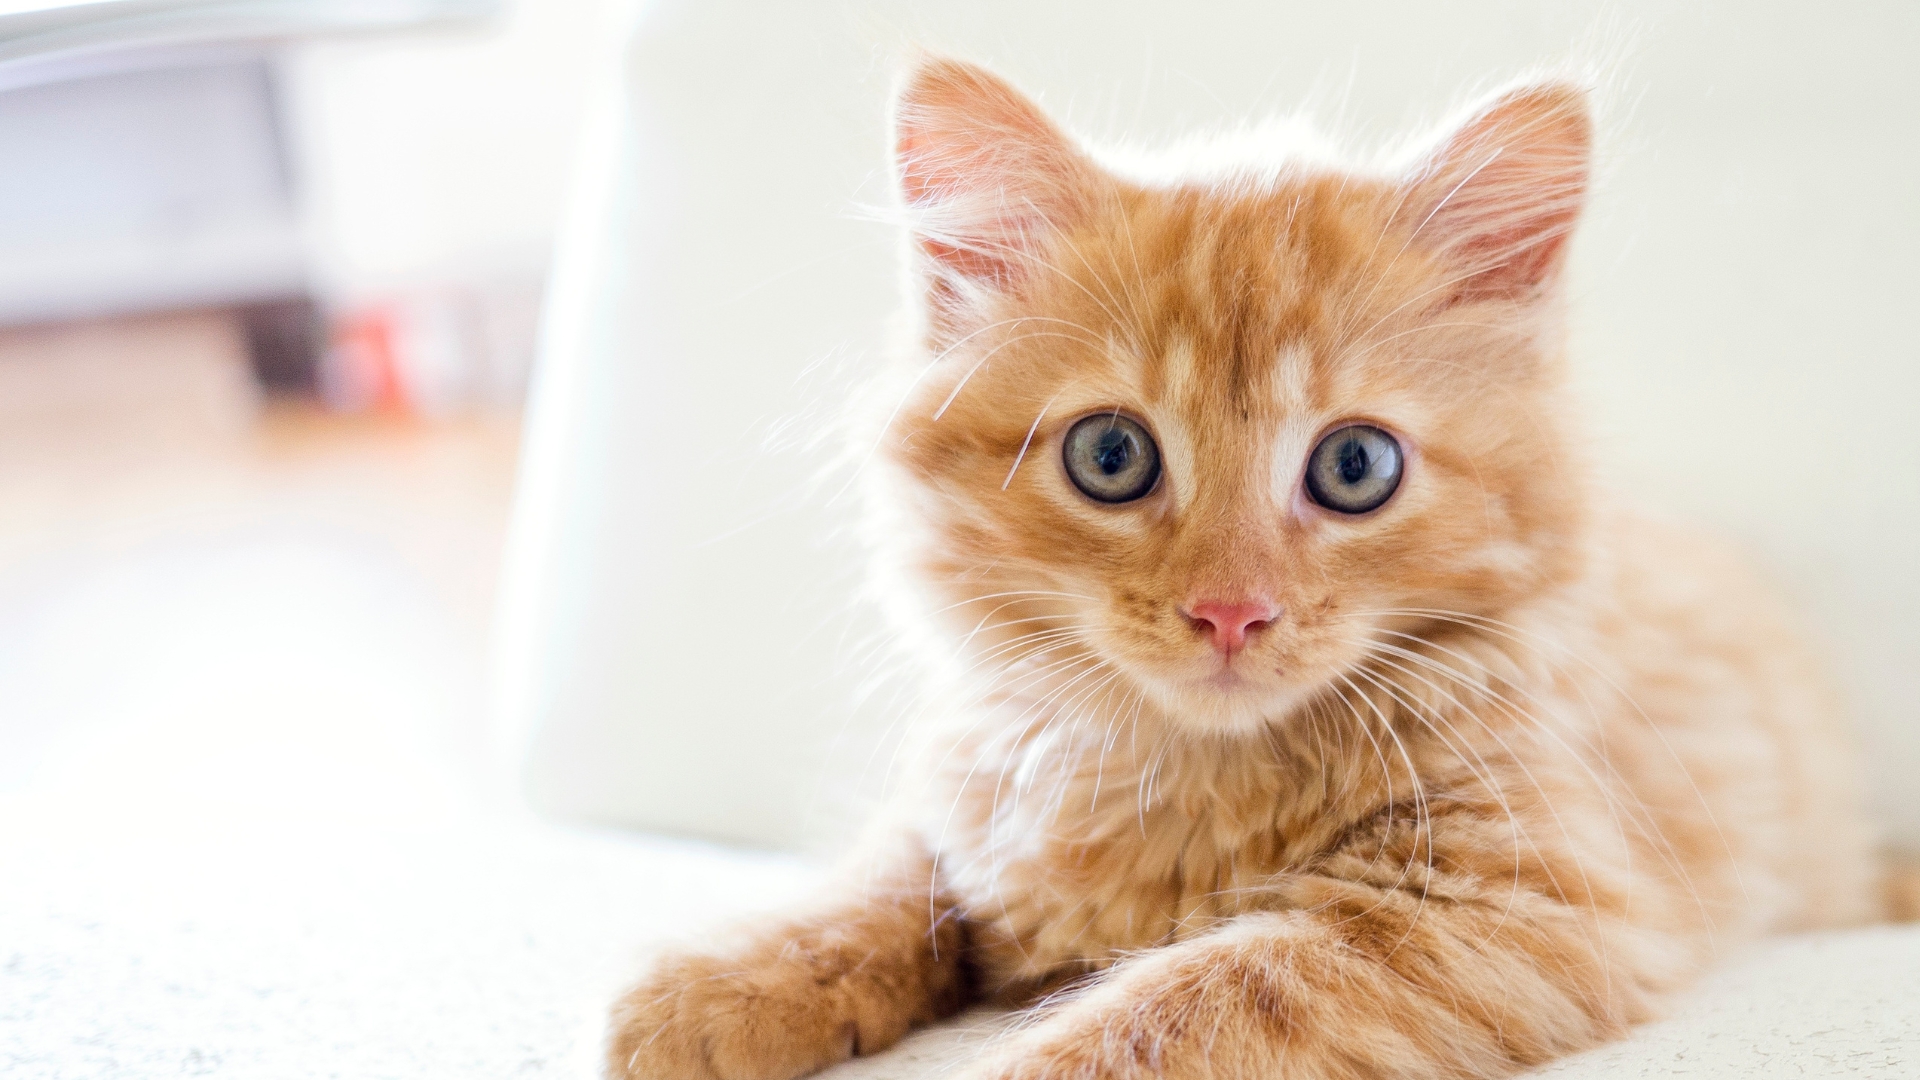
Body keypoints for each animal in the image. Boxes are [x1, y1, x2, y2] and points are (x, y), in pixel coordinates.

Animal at [602, 58, 1889, 1076]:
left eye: (1356, 466)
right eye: (1111, 456)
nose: (1231, 613)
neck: (1188, 774)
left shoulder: (1520, 900)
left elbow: (1194, 994)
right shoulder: (971, 782)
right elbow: (887, 875)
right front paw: (724, 982)